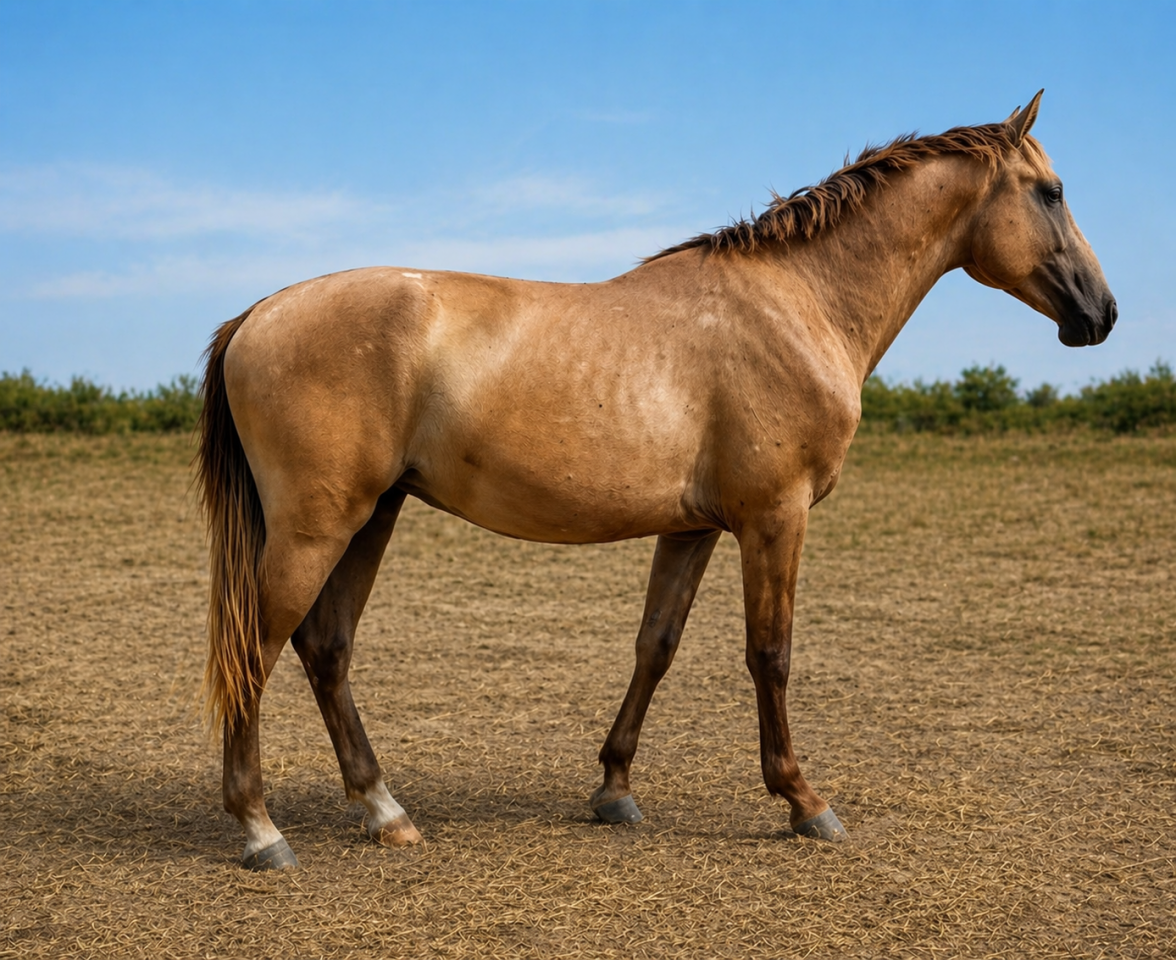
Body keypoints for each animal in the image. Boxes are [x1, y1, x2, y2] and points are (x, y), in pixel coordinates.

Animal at [197, 91, 1116, 869]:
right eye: (1052, 192)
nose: (1100, 313)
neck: (799, 302)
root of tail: (259, 313)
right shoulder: (774, 518)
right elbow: (770, 653)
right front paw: (803, 801)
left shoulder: (693, 527)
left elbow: (656, 645)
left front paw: (614, 790)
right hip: (319, 527)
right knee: (258, 647)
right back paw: (261, 830)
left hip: (372, 517)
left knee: (326, 649)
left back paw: (385, 811)